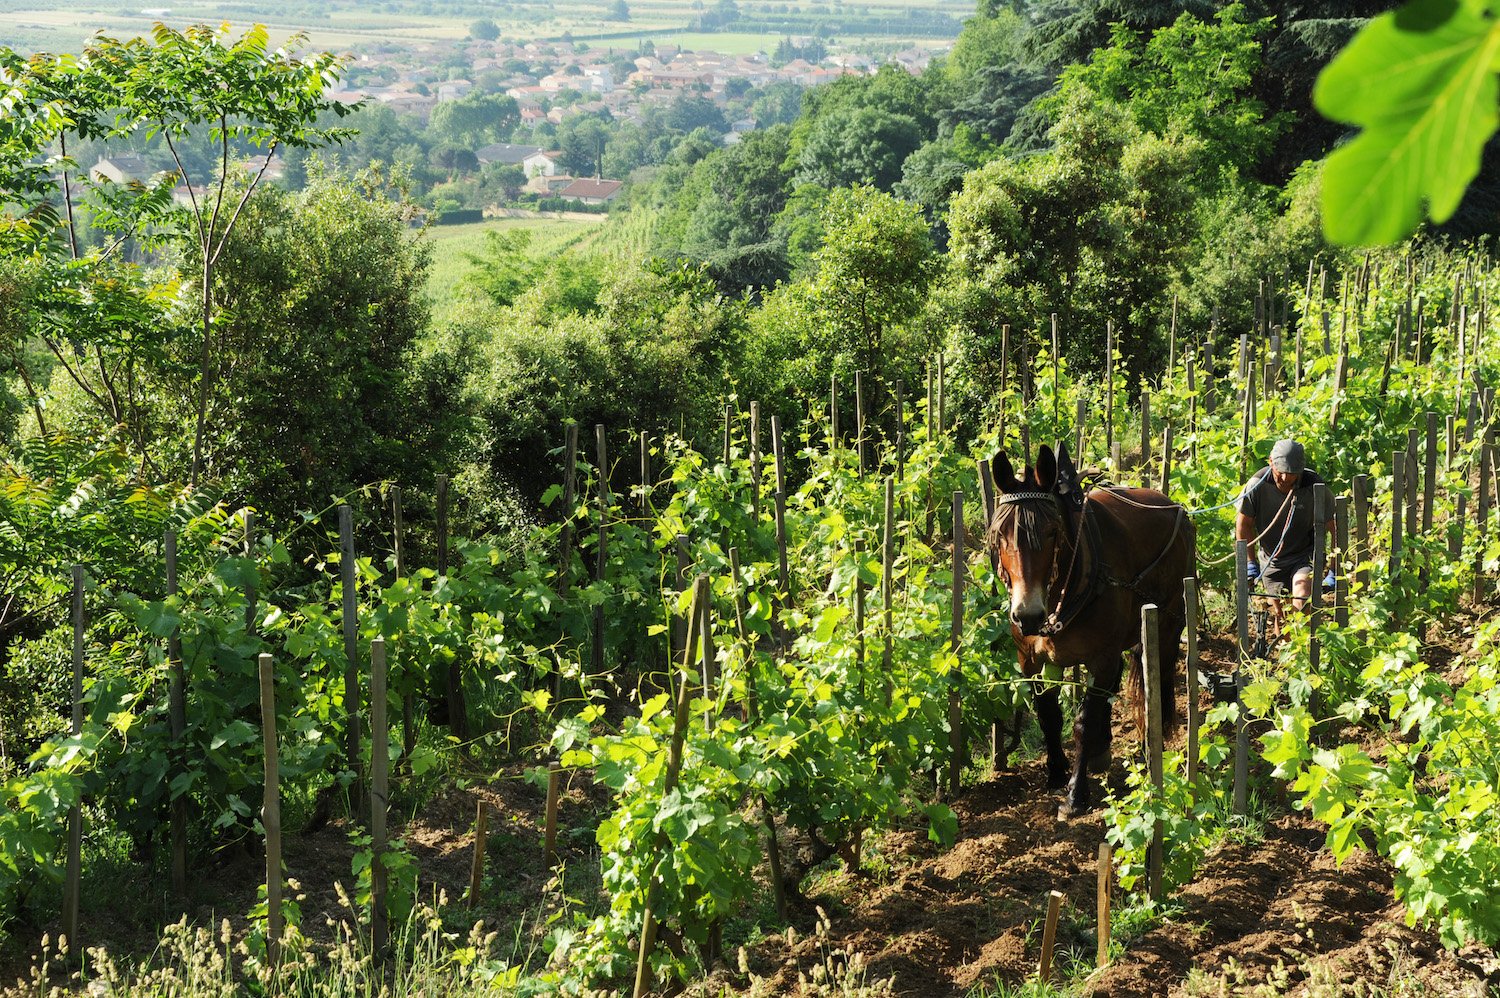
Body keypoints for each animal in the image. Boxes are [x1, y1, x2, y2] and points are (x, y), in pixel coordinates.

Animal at [984, 441, 1194, 816]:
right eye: (999, 535)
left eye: (1052, 532)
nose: (1027, 615)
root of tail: (1172, 506)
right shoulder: (1031, 659)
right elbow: (1048, 713)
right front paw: (1055, 773)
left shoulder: (1100, 657)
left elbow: (1083, 722)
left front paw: (1075, 794)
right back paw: (1102, 750)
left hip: (1169, 621)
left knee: (1156, 677)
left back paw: (1148, 747)